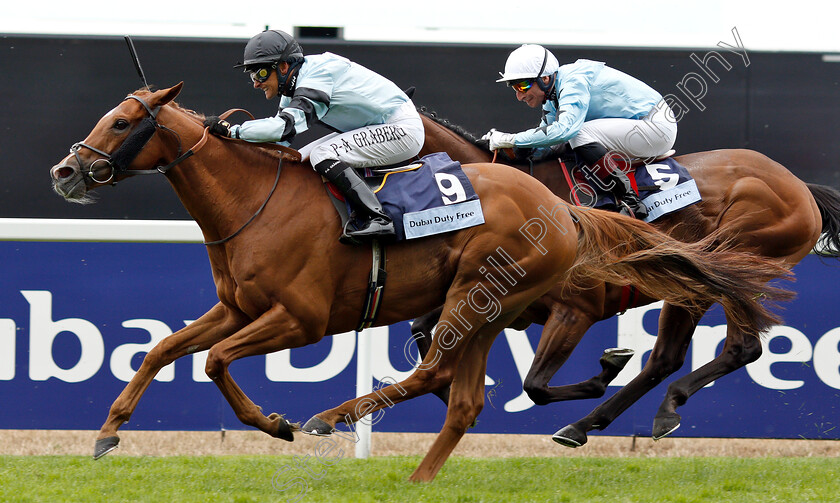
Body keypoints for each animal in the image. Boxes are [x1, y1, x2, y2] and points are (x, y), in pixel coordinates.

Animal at [49, 83, 792, 484]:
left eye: (122, 122)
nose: (65, 171)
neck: (255, 201)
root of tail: (562, 210)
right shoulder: (237, 306)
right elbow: (163, 349)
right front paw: (108, 432)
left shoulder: (301, 318)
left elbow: (213, 362)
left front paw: (275, 422)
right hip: (493, 307)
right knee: (462, 396)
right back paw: (424, 474)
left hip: (481, 293)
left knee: (439, 372)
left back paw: (331, 417)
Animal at [410, 108, 836, 446]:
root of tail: (800, 186)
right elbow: (422, 329)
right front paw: (446, 392)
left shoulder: (576, 310)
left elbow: (535, 386)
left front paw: (607, 369)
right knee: (668, 358)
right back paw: (597, 422)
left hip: (723, 267)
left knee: (738, 349)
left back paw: (649, 409)